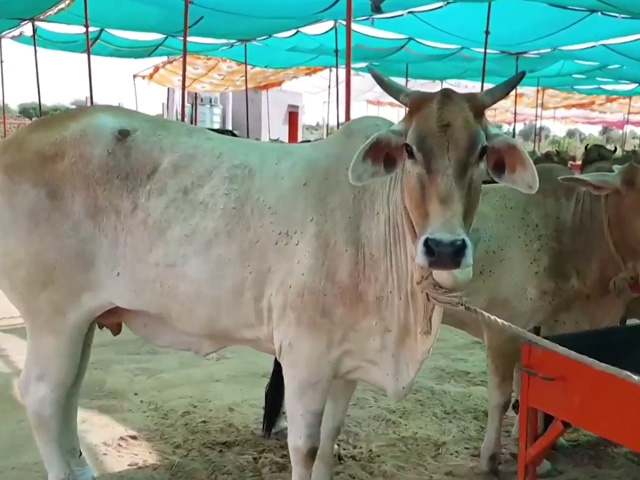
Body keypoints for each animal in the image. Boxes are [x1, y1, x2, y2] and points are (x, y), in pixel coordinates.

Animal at [0, 68, 537, 480]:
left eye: (481, 152)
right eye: (408, 149)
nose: (445, 248)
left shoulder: (346, 362)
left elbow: (330, 440)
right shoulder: (303, 357)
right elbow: (304, 446)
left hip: (81, 322)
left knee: (67, 398)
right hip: (53, 318)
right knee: (42, 398)